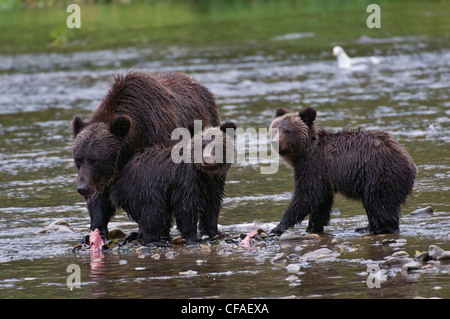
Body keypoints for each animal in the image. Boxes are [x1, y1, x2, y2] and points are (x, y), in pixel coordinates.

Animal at [71, 71, 220, 244]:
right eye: (78, 159)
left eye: (96, 160)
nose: (82, 188)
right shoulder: (105, 176)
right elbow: (100, 201)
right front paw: (95, 233)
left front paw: (145, 233)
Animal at [268, 107, 416, 235]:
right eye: (274, 129)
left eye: (287, 130)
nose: (275, 142)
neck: (305, 153)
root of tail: (409, 161)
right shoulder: (324, 176)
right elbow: (321, 202)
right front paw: (313, 227)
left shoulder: (314, 167)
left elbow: (305, 196)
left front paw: (278, 227)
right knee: (372, 204)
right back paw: (366, 227)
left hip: (380, 174)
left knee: (380, 203)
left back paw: (381, 228)